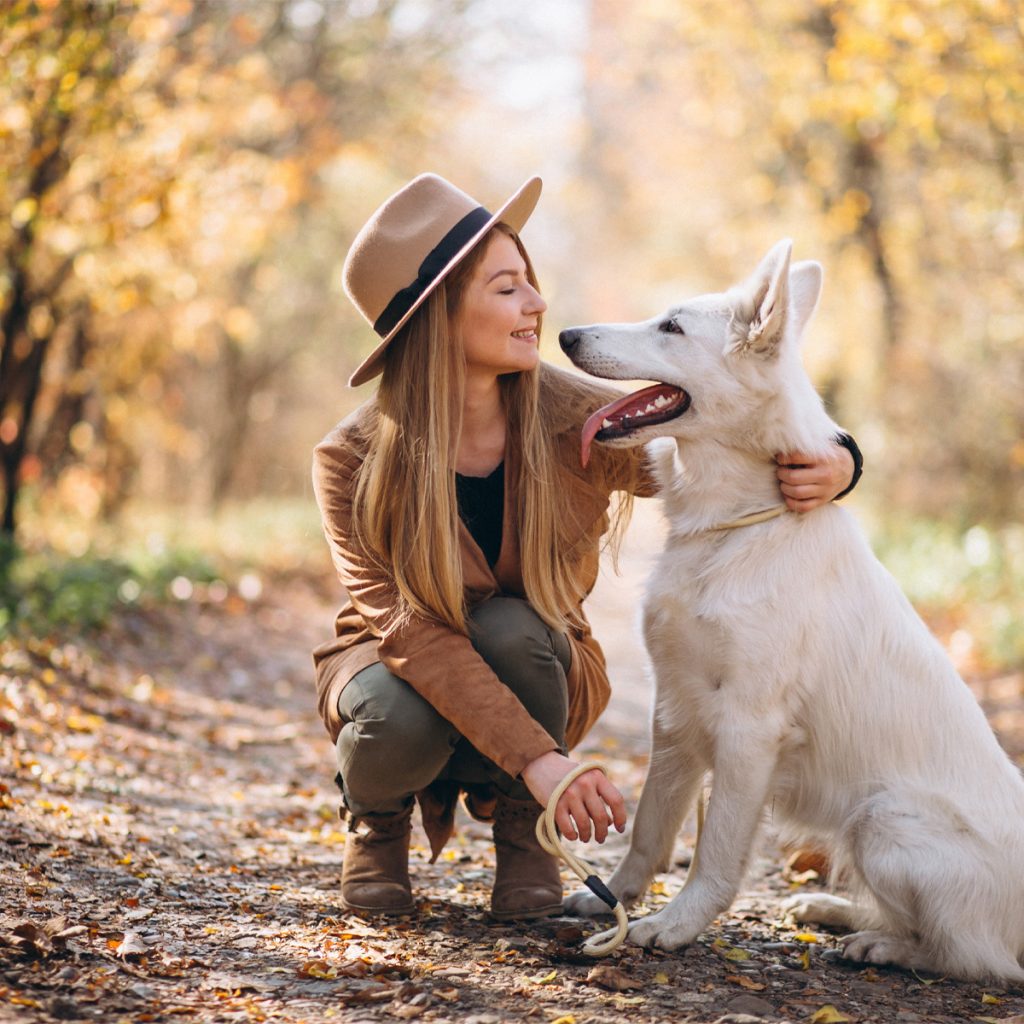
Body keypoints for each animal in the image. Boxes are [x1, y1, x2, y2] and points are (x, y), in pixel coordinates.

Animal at [561, 239, 1024, 983]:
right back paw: (835, 911)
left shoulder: (747, 729)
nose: (566, 335)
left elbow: (716, 853)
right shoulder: (675, 713)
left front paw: (673, 926)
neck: (738, 526)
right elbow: (650, 830)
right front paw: (616, 900)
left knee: (974, 959)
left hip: (882, 819)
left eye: (671, 327)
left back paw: (880, 946)